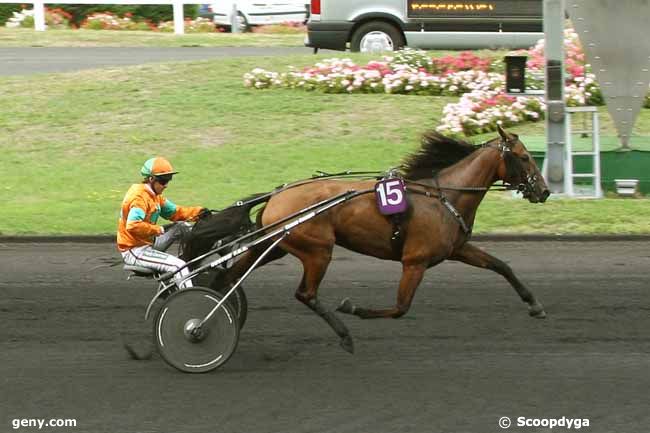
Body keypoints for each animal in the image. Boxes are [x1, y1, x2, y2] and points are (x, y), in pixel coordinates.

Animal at [186, 124, 548, 352]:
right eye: (525, 157)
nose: (543, 191)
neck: (443, 196)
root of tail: (278, 194)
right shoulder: (415, 261)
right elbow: (401, 307)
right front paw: (354, 307)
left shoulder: (456, 248)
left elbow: (501, 266)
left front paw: (535, 305)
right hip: (317, 250)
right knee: (305, 293)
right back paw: (344, 335)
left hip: (277, 244)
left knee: (229, 275)